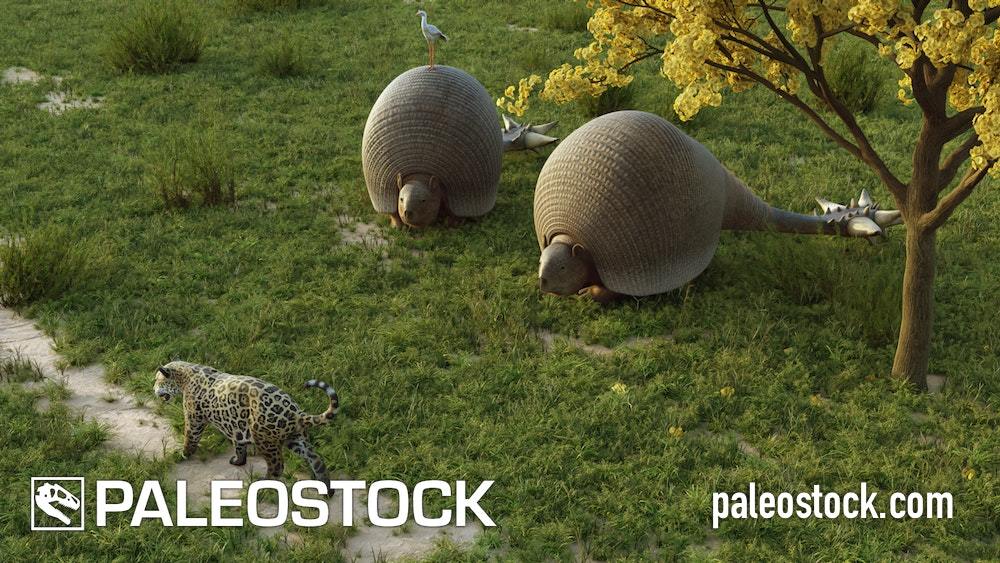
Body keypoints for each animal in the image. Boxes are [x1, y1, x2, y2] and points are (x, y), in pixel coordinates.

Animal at [153, 361, 339, 489]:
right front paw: (238, 461)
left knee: (277, 466)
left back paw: (264, 483)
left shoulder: (194, 420)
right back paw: (326, 489)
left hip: (265, 440)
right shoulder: (237, 427)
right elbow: (239, 445)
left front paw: (183, 454)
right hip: (295, 438)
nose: (153, 390)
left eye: (158, 381)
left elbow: (190, 438)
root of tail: (296, 412)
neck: (185, 376)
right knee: (316, 458)